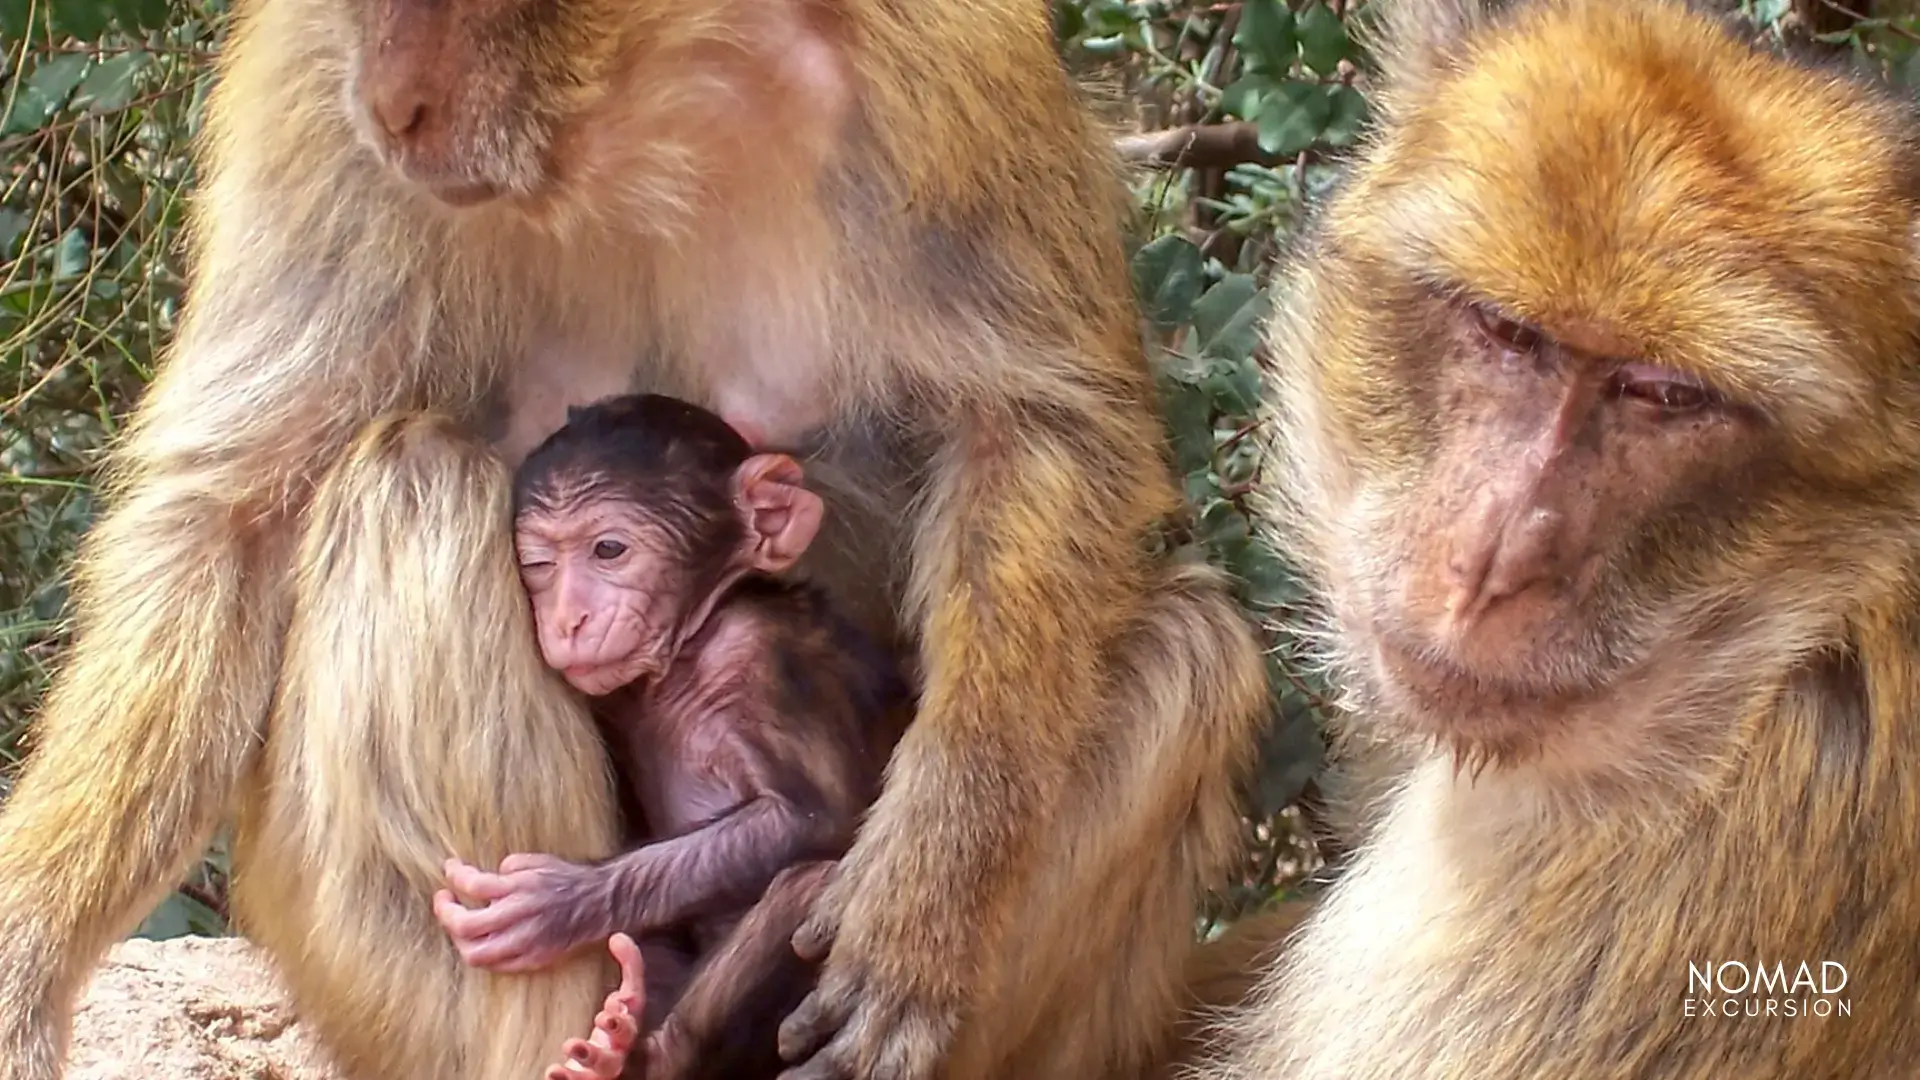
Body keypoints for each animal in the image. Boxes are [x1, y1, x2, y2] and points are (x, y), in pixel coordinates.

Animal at [432, 395, 910, 1076]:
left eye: (609, 549)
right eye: (538, 566)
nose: (568, 619)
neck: (690, 650)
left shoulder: (764, 657)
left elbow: (819, 816)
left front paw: (560, 902)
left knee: (808, 888)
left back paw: (643, 1051)